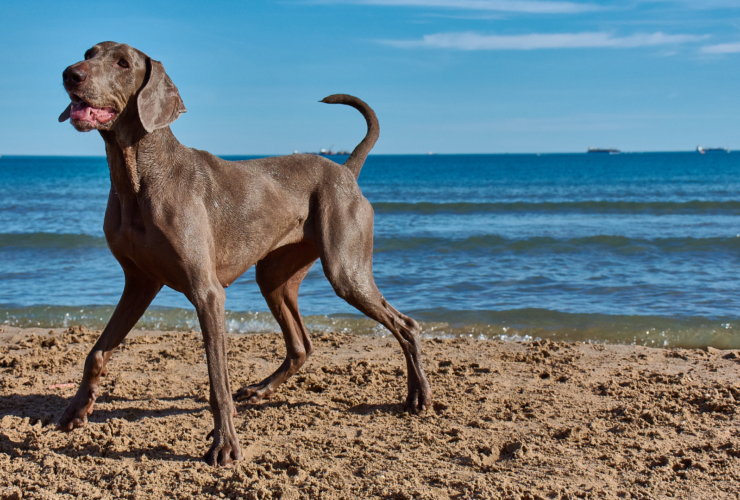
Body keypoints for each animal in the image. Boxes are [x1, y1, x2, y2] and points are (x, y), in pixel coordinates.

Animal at [59, 42, 434, 464]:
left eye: (123, 63)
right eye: (89, 52)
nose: (71, 74)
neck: (137, 175)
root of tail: (344, 170)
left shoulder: (206, 293)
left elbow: (216, 379)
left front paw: (224, 444)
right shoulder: (139, 283)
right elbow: (96, 352)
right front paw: (76, 409)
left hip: (345, 270)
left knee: (405, 324)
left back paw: (418, 395)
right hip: (274, 276)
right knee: (301, 345)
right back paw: (260, 389)